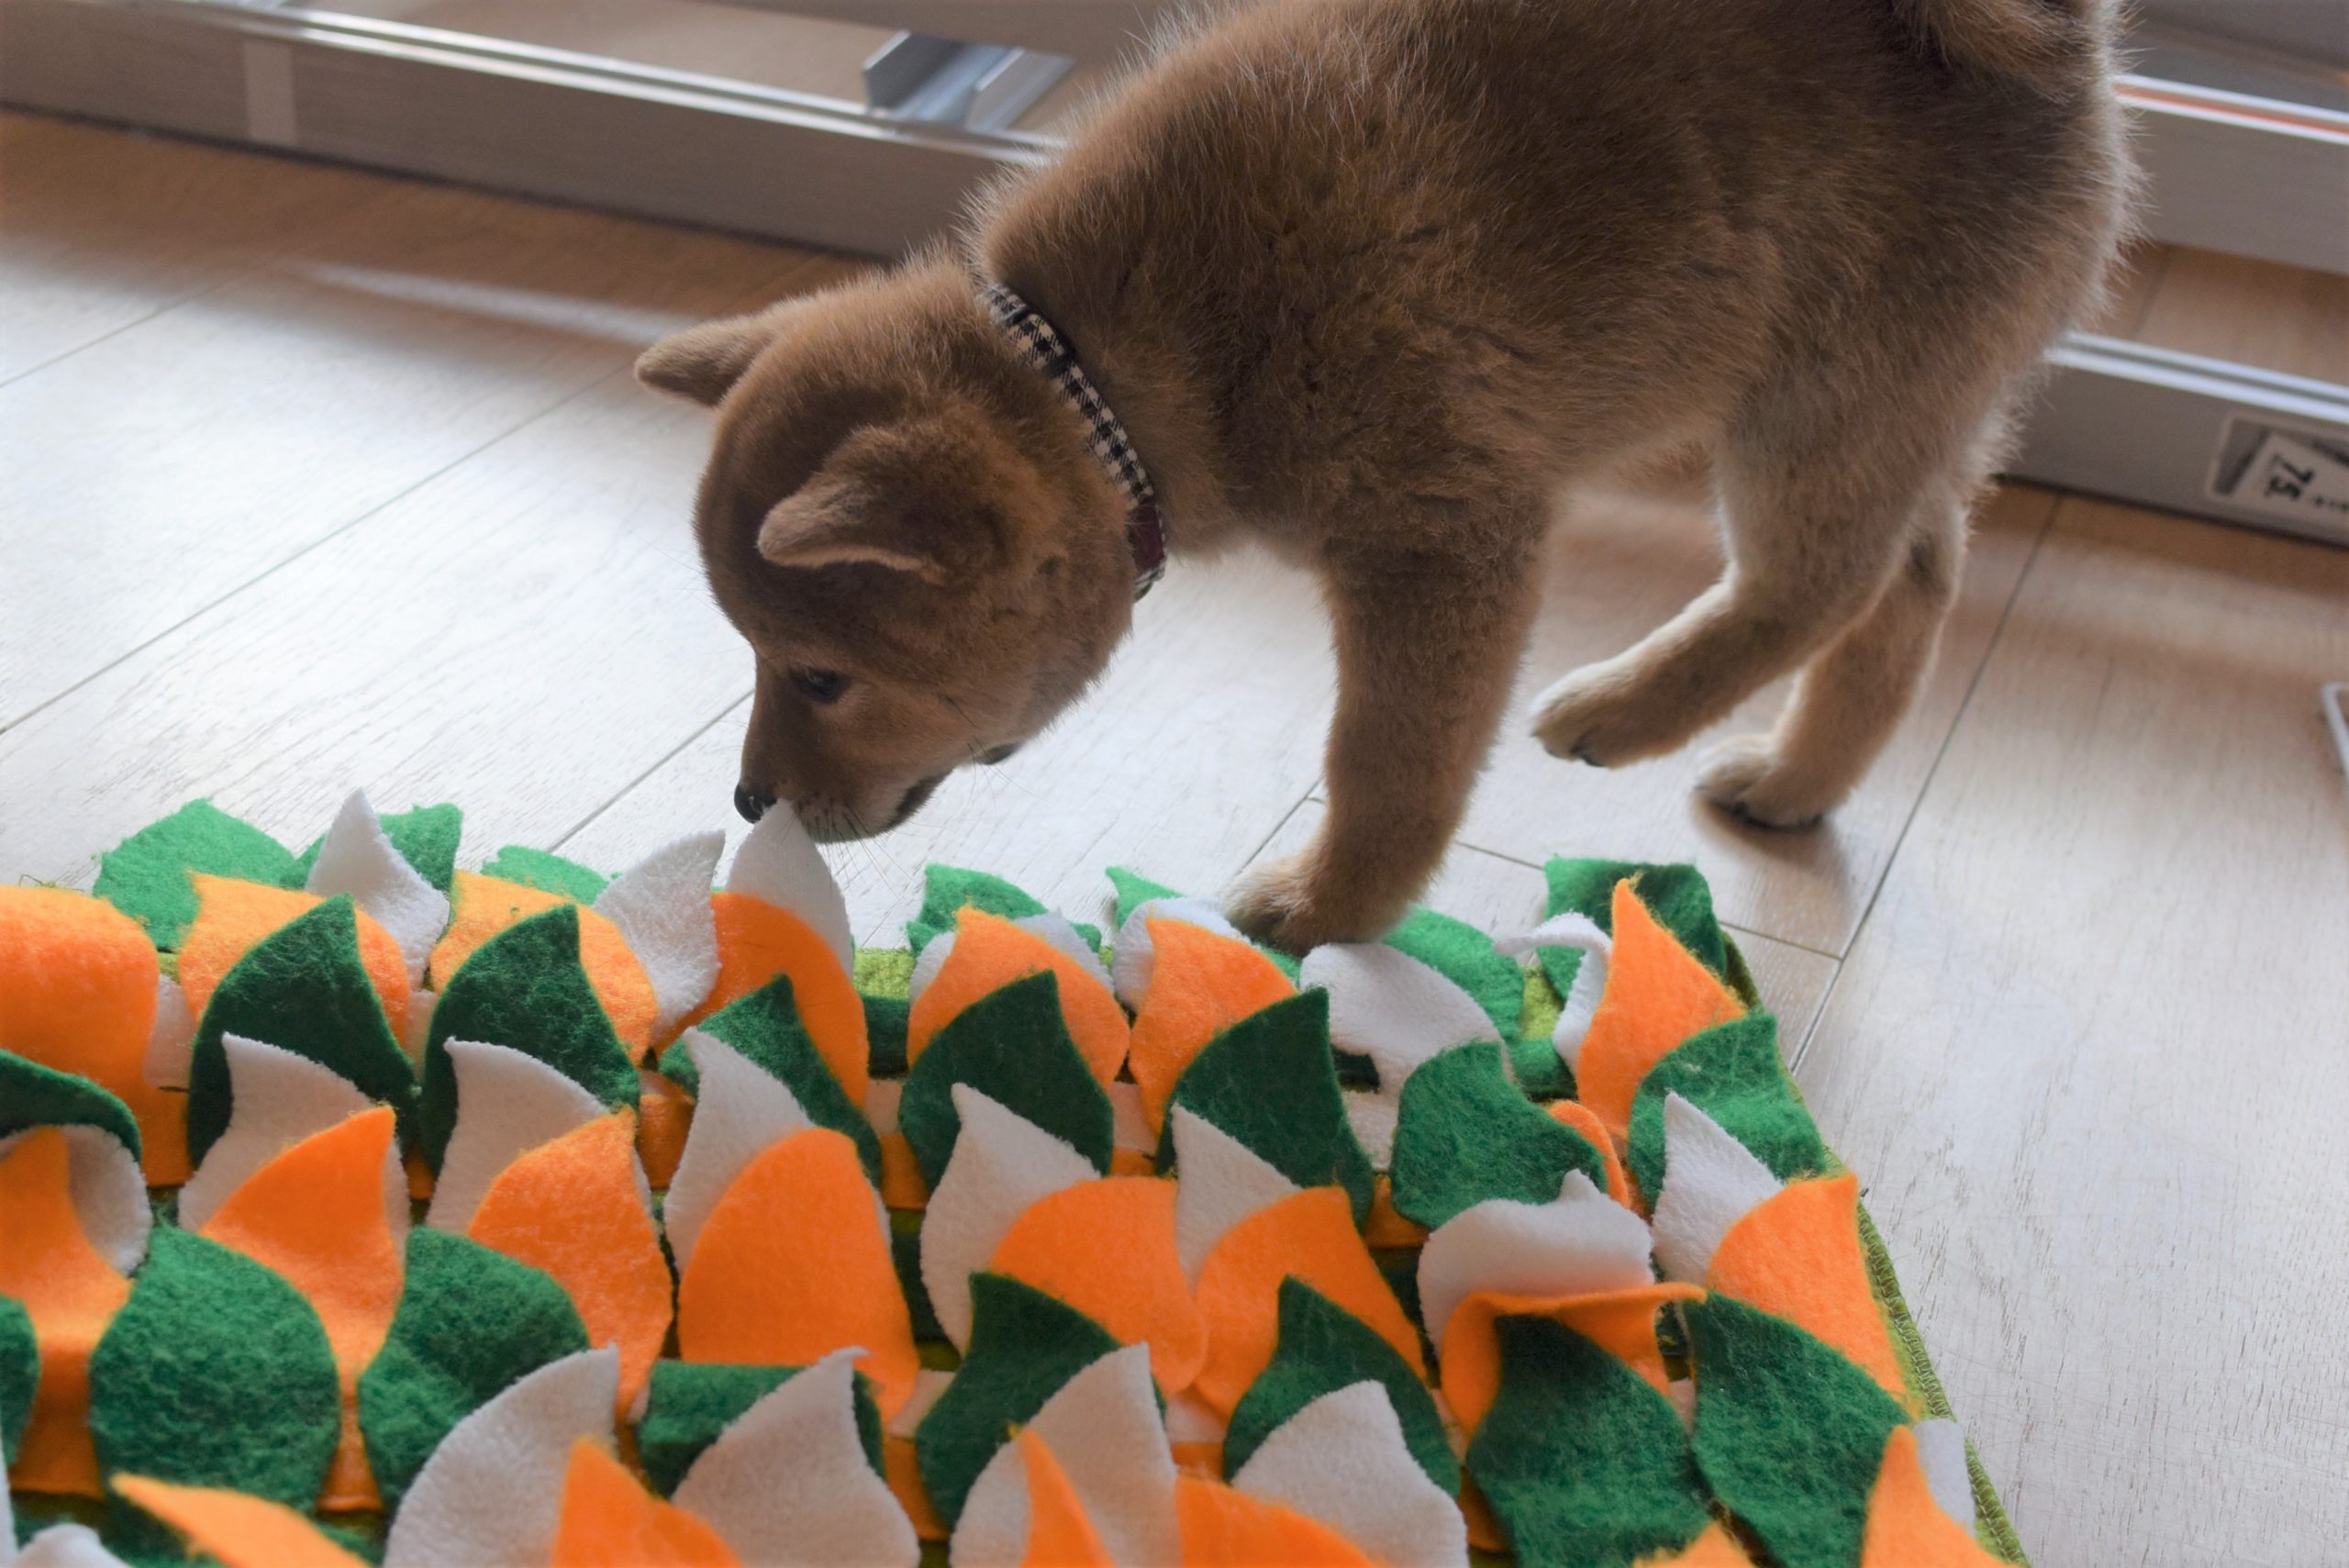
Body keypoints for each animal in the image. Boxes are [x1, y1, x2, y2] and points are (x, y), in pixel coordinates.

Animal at [638, 0, 2130, 951]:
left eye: (821, 675)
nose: (749, 802)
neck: (1111, 369)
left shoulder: (1443, 536)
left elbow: (1386, 763)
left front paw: (1332, 908)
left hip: (1811, 402)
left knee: (1823, 584)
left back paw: (1626, 709)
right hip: (1893, 398)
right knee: (1914, 581)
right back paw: (1797, 777)